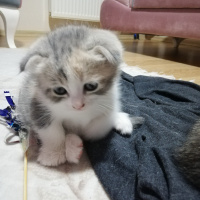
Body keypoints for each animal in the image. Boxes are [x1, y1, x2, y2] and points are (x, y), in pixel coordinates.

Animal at [16, 25, 142, 166]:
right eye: (60, 90)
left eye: (91, 86)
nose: (78, 105)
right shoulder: (35, 103)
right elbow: (52, 132)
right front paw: (53, 154)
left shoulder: (109, 101)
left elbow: (95, 129)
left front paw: (73, 139)